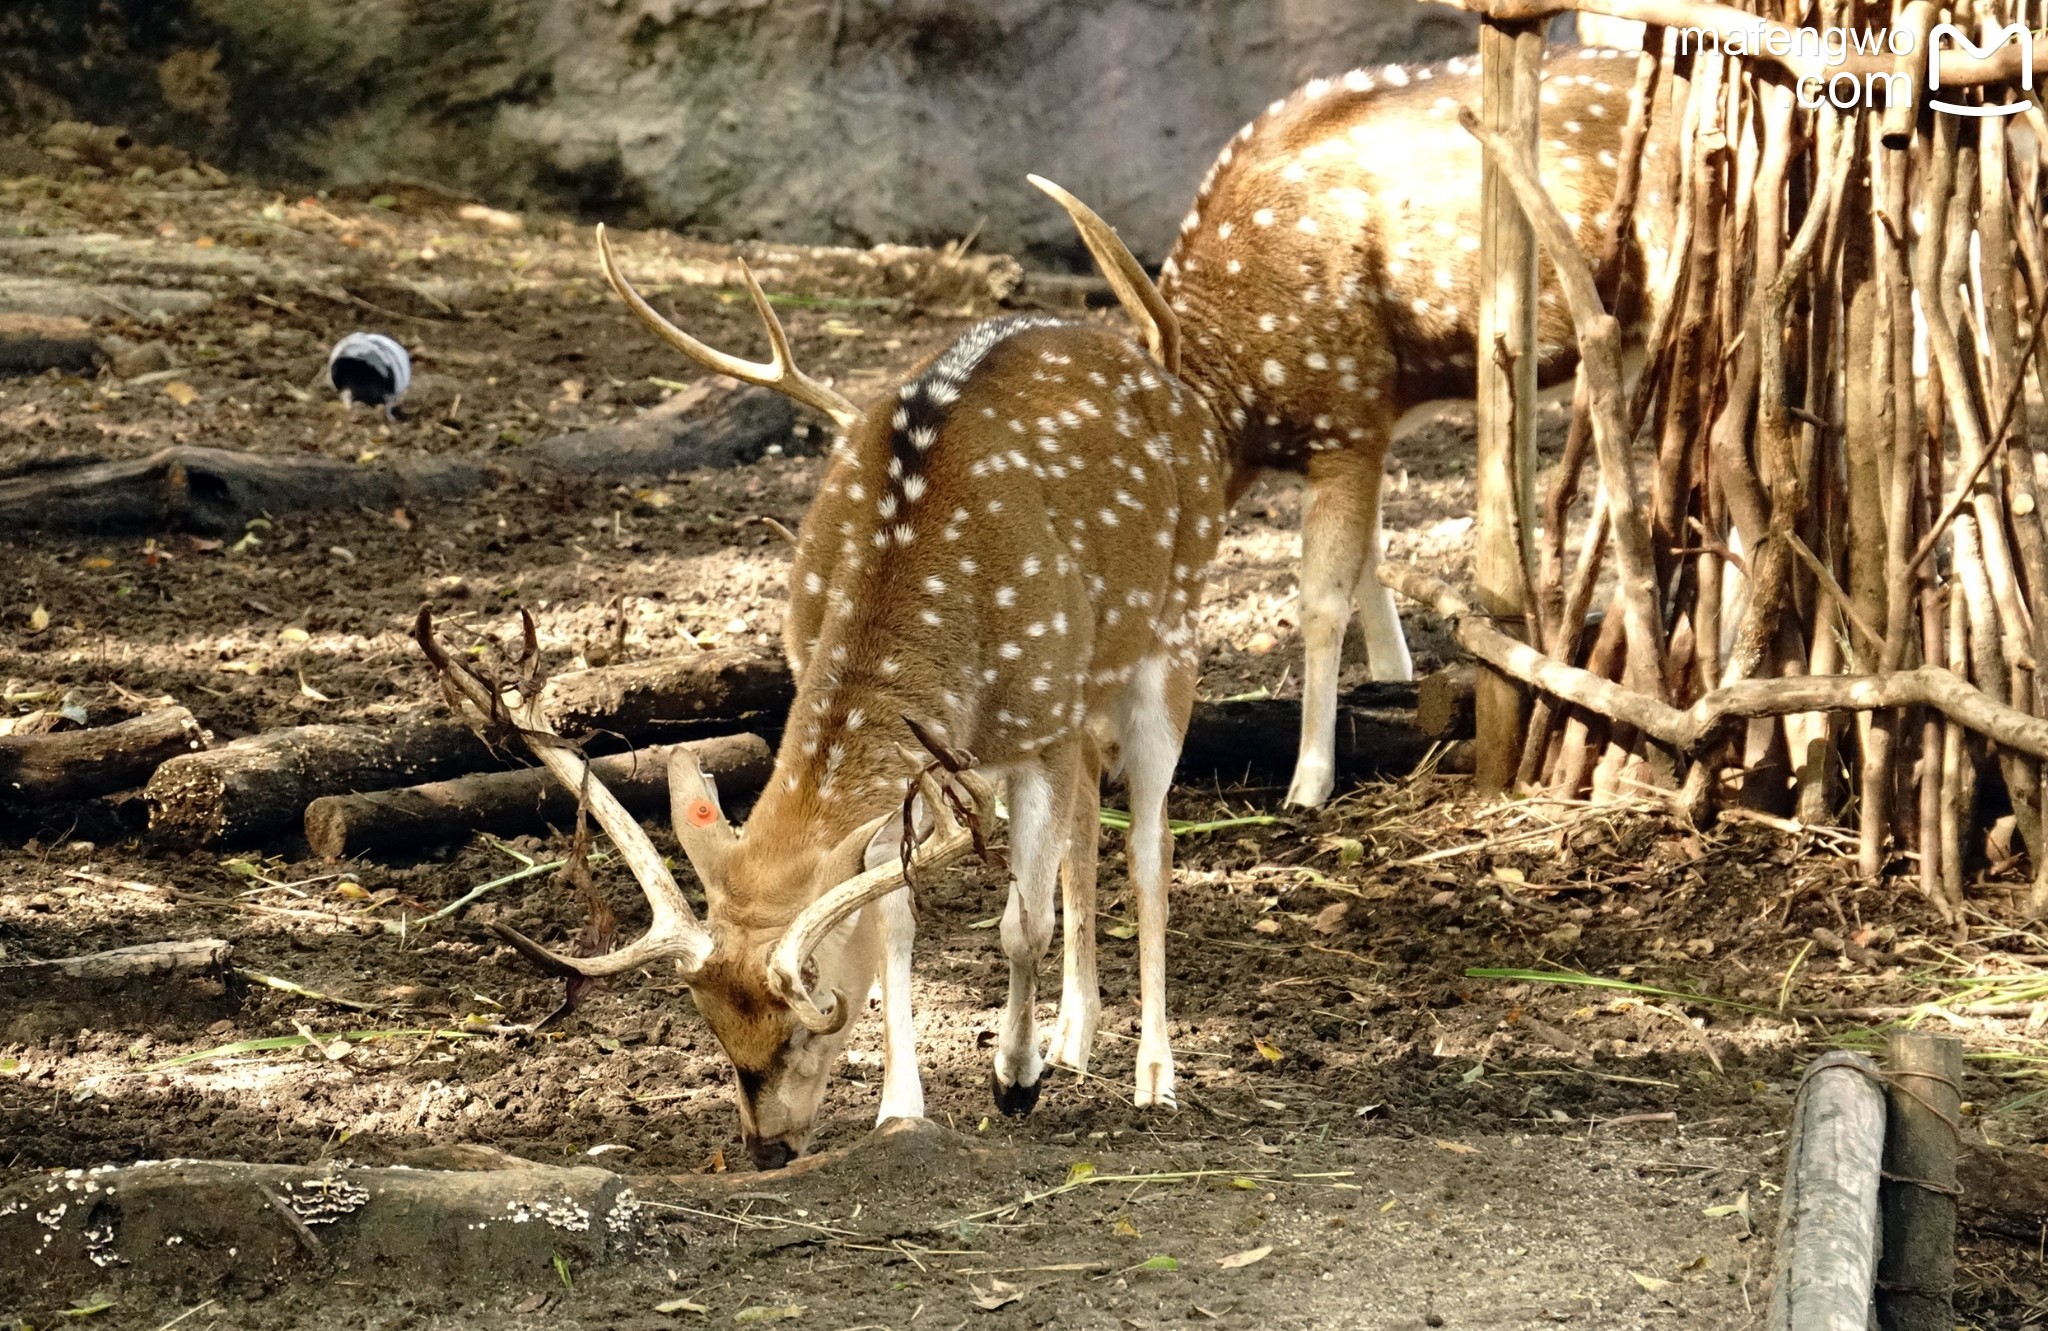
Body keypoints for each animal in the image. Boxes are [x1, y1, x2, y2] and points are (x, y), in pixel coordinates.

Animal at [428, 191, 1212, 1163]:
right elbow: (899, 912)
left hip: (1169, 640)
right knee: (1082, 838)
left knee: (1149, 846)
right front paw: (902, 1105)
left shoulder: (1044, 717)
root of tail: (1168, 372)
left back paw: (1152, 1074)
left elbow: (1019, 922)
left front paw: (1013, 1081)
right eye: (712, 1028)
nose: (767, 1145)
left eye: (810, 1023)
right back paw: (1075, 1038)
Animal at [1155, 46, 1662, 802]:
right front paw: (1393, 684)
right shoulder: (1367, 418)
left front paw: (1309, 783)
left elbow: (1322, 598)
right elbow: (1370, 559)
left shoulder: (1347, 407)